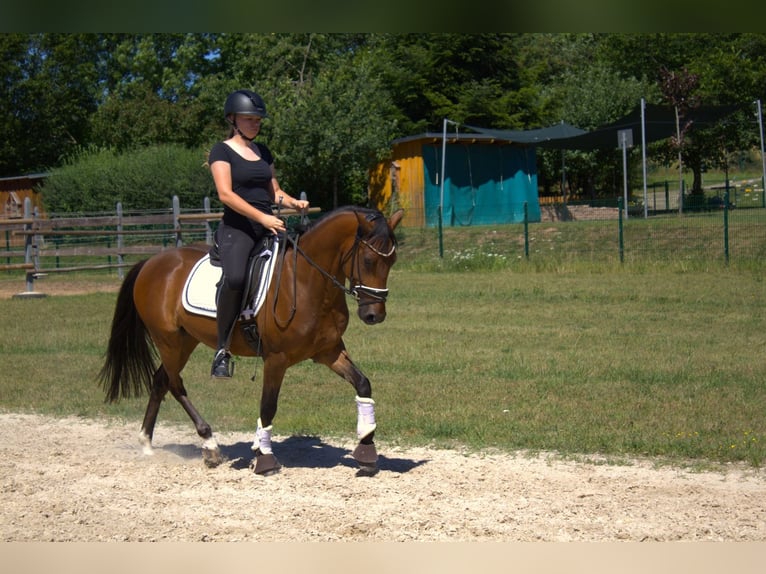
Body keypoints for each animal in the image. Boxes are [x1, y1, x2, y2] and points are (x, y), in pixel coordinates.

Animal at [99, 207, 404, 476]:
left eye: (392, 262)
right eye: (368, 261)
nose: (374, 315)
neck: (307, 281)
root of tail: (152, 262)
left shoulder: (329, 351)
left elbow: (362, 384)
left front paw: (367, 450)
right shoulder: (276, 359)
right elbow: (268, 406)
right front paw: (265, 459)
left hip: (185, 342)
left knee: (161, 380)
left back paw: (147, 443)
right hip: (169, 341)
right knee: (174, 383)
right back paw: (209, 444)